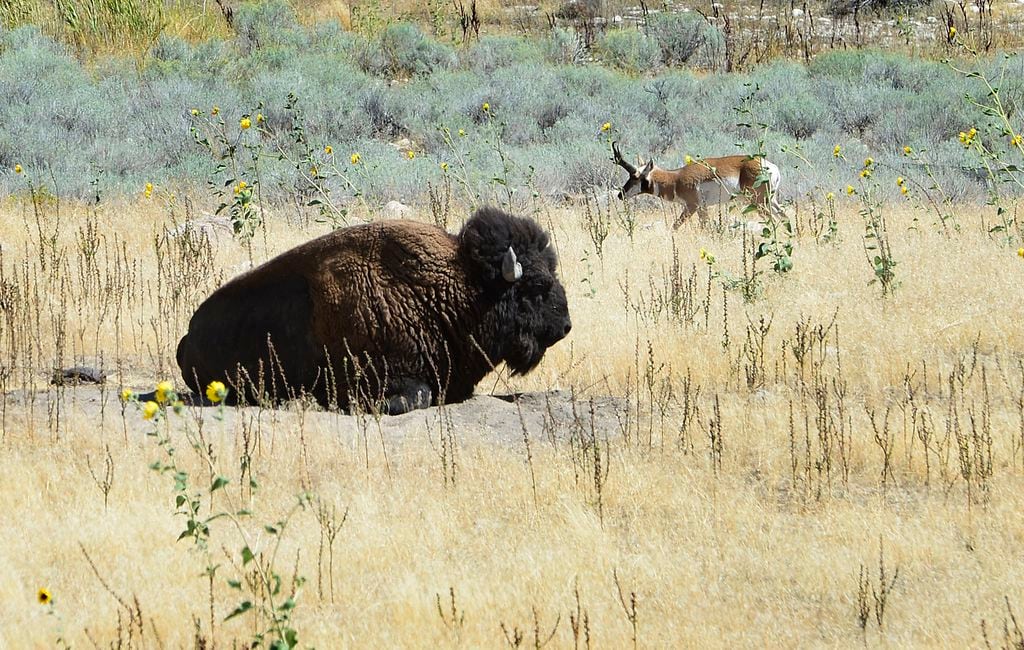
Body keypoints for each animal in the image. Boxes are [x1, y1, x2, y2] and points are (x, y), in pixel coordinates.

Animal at [611, 141, 783, 229]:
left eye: (635, 177)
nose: (620, 194)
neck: (676, 178)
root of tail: (769, 165)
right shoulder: (702, 208)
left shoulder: (691, 206)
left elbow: (675, 226)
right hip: (770, 201)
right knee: (784, 216)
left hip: (758, 203)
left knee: (774, 221)